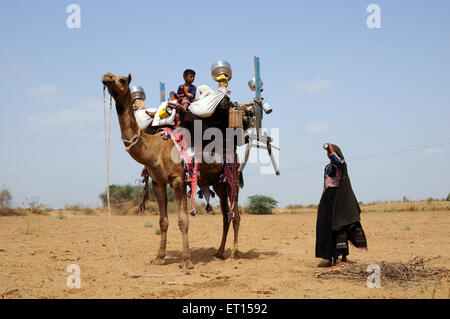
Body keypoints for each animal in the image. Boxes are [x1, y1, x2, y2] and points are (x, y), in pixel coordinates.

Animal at [101, 72, 241, 270]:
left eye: (121, 80)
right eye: (111, 76)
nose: (107, 77)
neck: (154, 149)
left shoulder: (178, 180)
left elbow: (183, 220)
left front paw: (186, 260)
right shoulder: (157, 182)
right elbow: (163, 221)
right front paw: (159, 257)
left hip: (232, 176)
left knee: (235, 215)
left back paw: (234, 254)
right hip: (217, 182)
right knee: (225, 215)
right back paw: (219, 253)